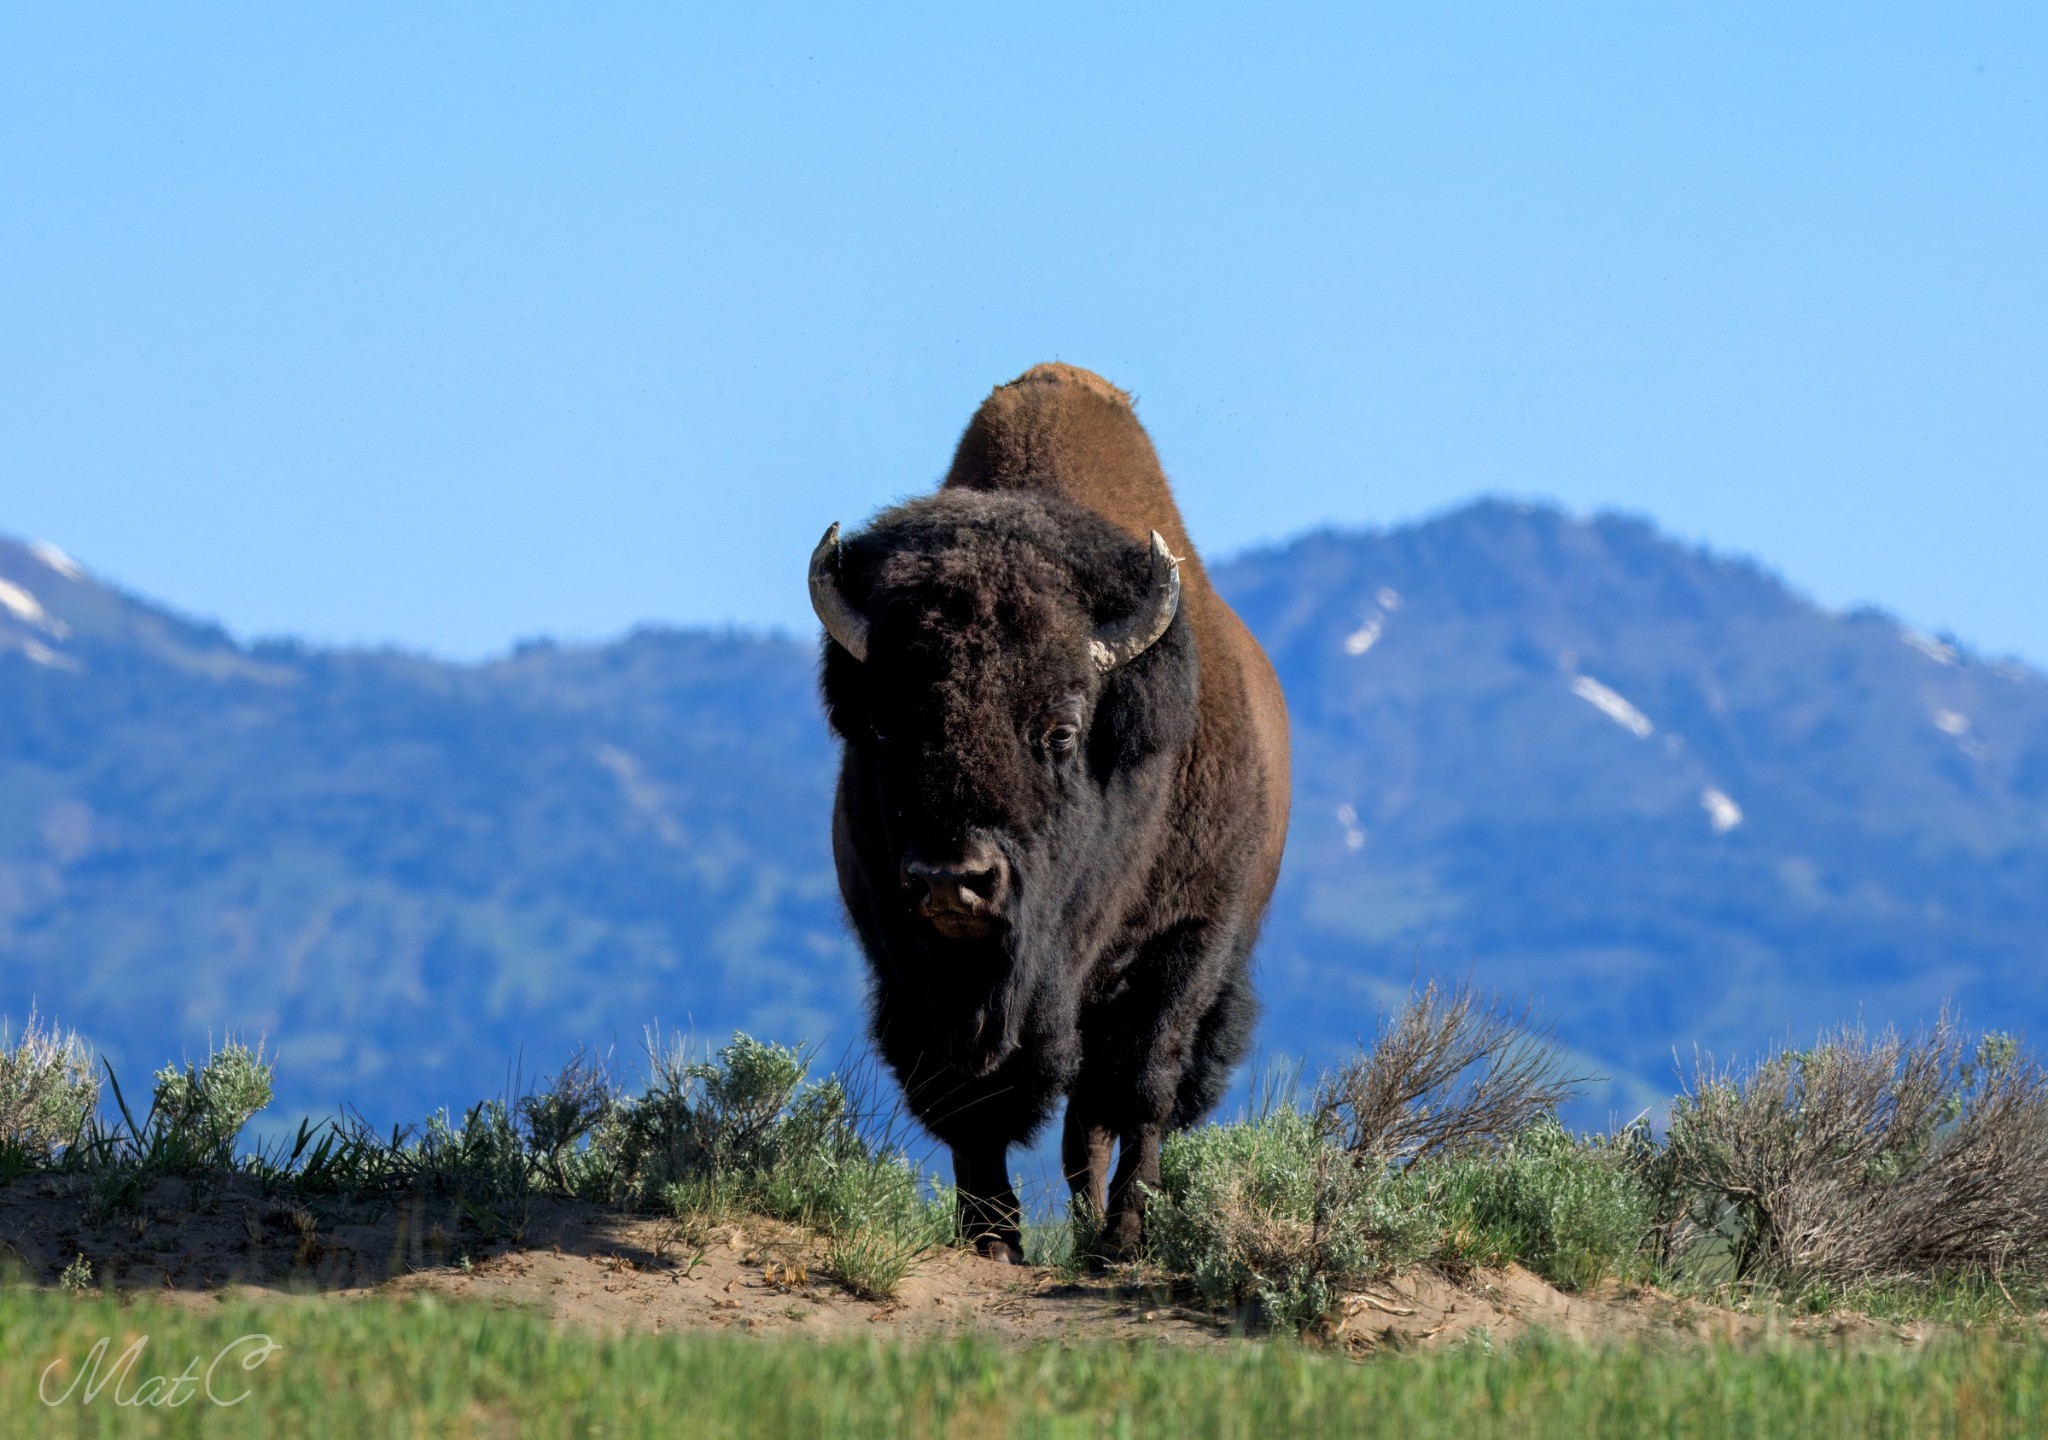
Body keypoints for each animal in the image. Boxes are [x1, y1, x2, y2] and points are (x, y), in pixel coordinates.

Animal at [809, 362, 1290, 1260]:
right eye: (885, 725)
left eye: (1061, 730)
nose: (952, 880)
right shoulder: (906, 962)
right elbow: (965, 1100)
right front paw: (992, 1239)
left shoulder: (1186, 945)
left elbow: (1141, 1087)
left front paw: (1129, 1233)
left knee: (1099, 1115)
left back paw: (1103, 1233)